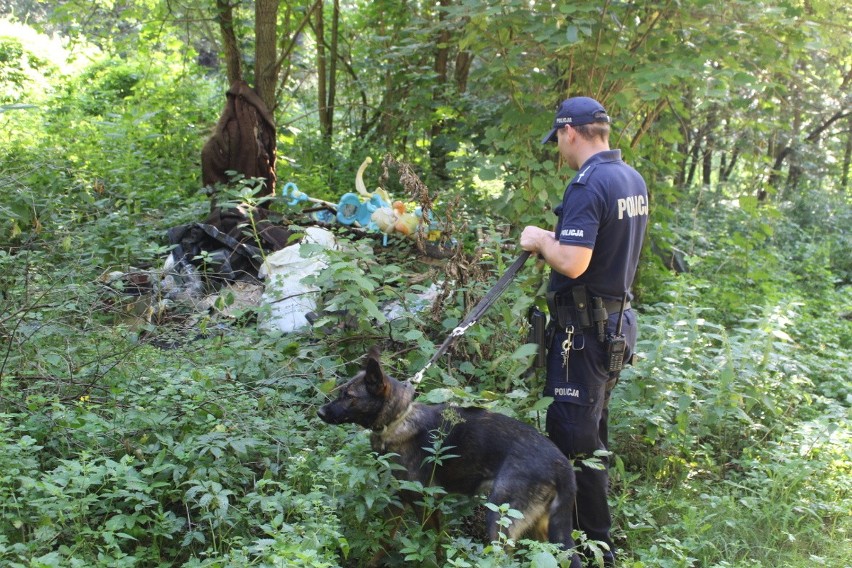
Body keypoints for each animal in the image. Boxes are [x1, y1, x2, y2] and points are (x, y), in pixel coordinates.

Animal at [316, 348, 584, 564]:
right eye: (341, 392)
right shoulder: (397, 502)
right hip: (543, 529)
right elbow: (385, 542)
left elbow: (431, 543)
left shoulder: (425, 504)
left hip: (500, 519)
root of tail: (562, 464)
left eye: (349, 396)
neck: (398, 419)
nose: (319, 412)